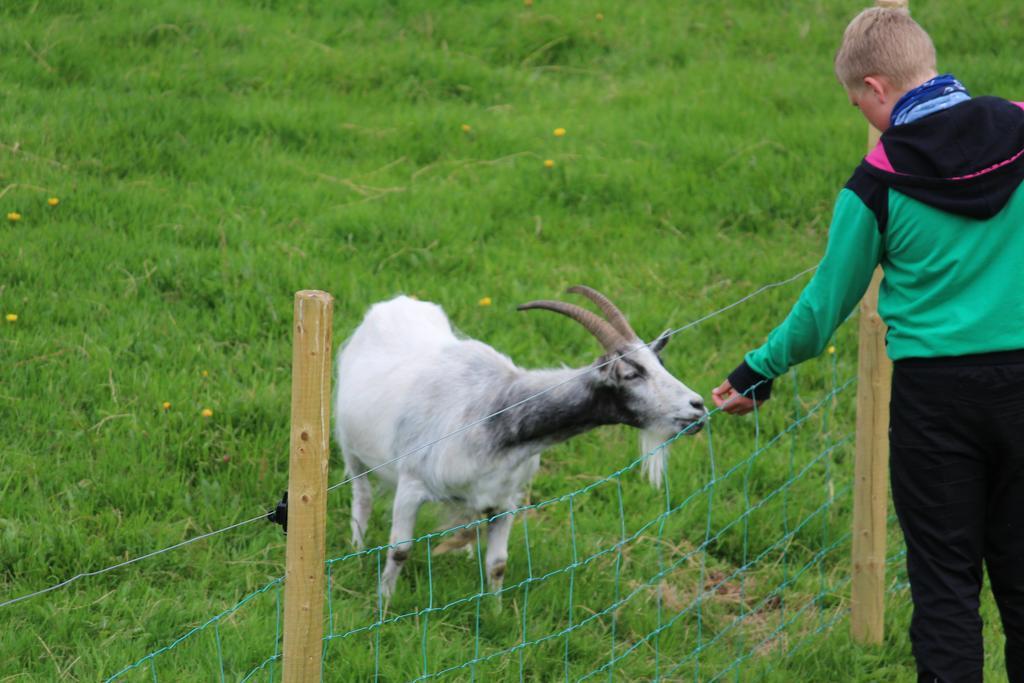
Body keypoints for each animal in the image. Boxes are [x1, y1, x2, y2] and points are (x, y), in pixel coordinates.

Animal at [331, 286, 708, 598]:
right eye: (632, 373)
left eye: (660, 363)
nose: (698, 406)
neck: (495, 413)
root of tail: (393, 304)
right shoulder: (411, 485)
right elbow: (400, 551)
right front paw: (384, 604)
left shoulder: (505, 501)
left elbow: (498, 564)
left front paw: (494, 611)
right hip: (351, 448)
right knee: (362, 497)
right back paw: (357, 549)